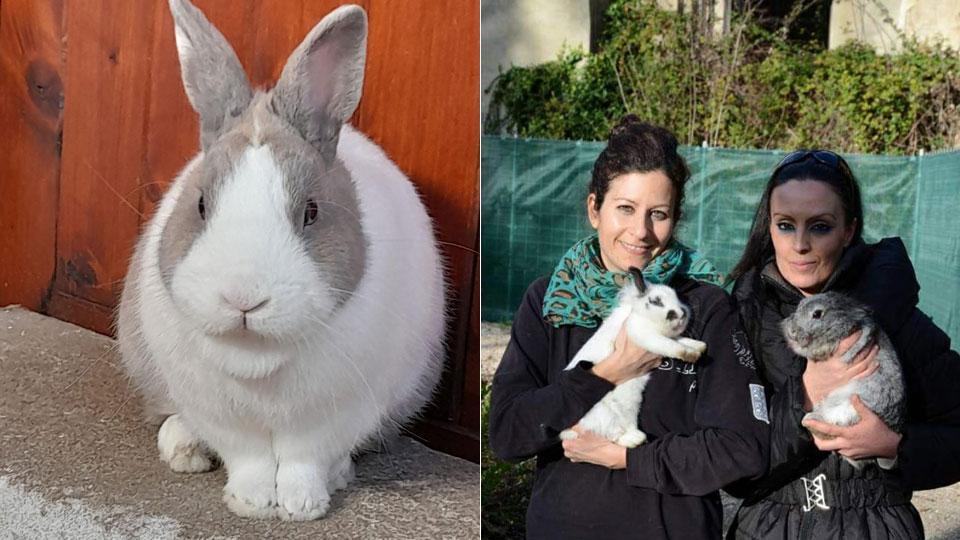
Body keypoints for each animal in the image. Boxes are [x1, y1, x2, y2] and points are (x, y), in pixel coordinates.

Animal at [115, 0, 446, 521]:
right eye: (201, 204)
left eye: (311, 212)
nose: (243, 298)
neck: (258, 360)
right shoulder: (218, 411)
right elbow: (247, 456)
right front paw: (250, 503)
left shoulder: (339, 412)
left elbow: (303, 458)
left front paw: (301, 506)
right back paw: (183, 449)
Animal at [559, 267, 706, 448]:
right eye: (656, 302)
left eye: (676, 297)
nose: (681, 313)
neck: (640, 314)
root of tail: (567, 432)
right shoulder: (643, 334)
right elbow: (670, 345)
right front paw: (690, 355)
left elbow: (680, 339)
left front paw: (700, 347)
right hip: (603, 413)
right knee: (613, 434)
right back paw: (636, 440)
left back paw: (639, 436)